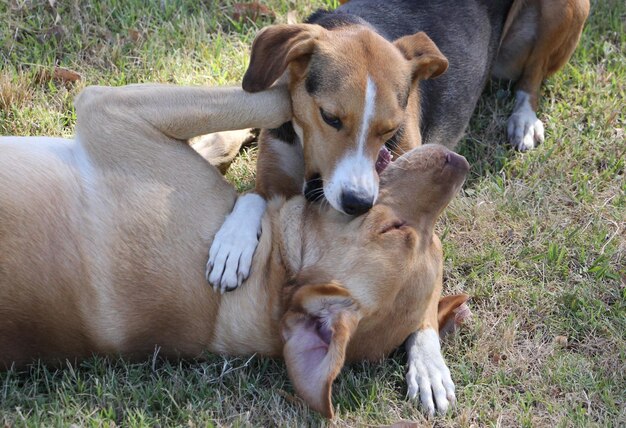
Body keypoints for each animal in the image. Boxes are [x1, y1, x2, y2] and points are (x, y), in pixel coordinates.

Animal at [206, 0, 588, 298]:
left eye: (389, 128)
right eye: (330, 117)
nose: (357, 203)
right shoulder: (273, 173)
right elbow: (252, 197)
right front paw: (231, 245)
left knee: (532, 77)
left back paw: (524, 118)